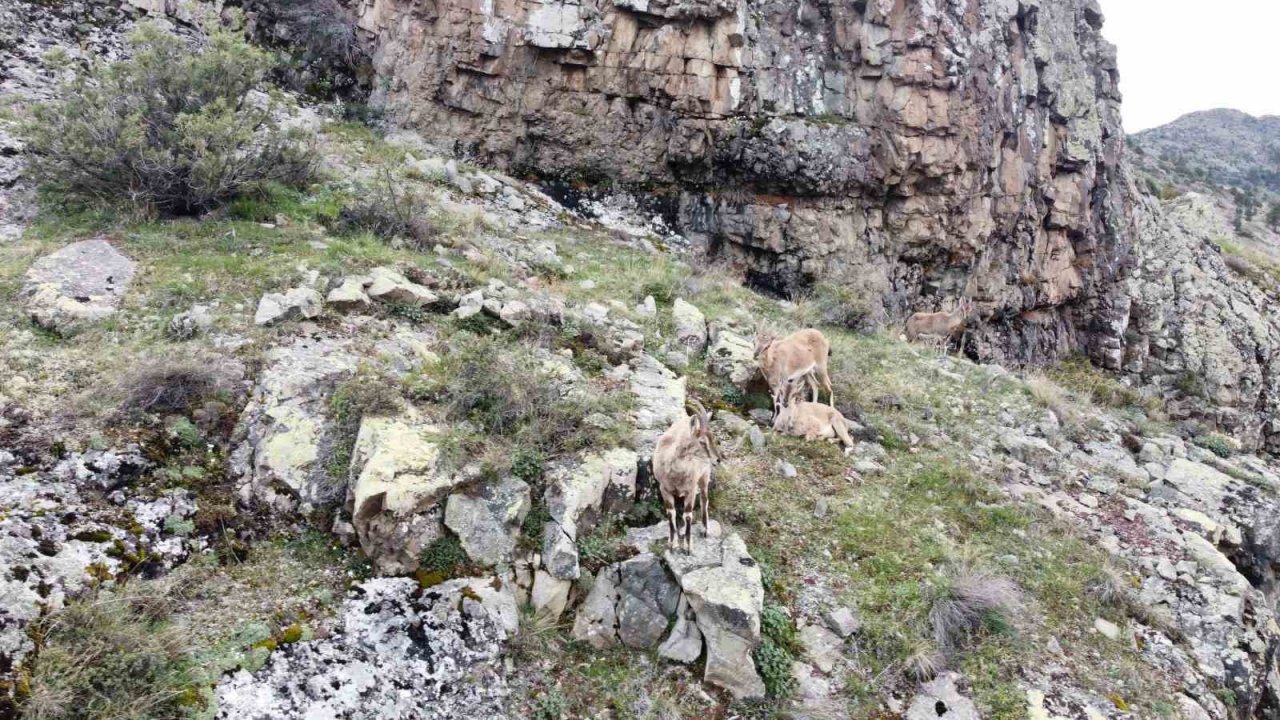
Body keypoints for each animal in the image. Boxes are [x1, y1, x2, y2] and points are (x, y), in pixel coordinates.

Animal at [655, 397, 727, 548]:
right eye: (702, 442)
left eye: (713, 438)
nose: (718, 459)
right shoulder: (664, 489)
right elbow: (671, 513)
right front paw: (673, 543)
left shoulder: (691, 490)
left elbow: (688, 515)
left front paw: (688, 546)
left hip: (705, 475)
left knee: (705, 499)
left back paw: (705, 530)